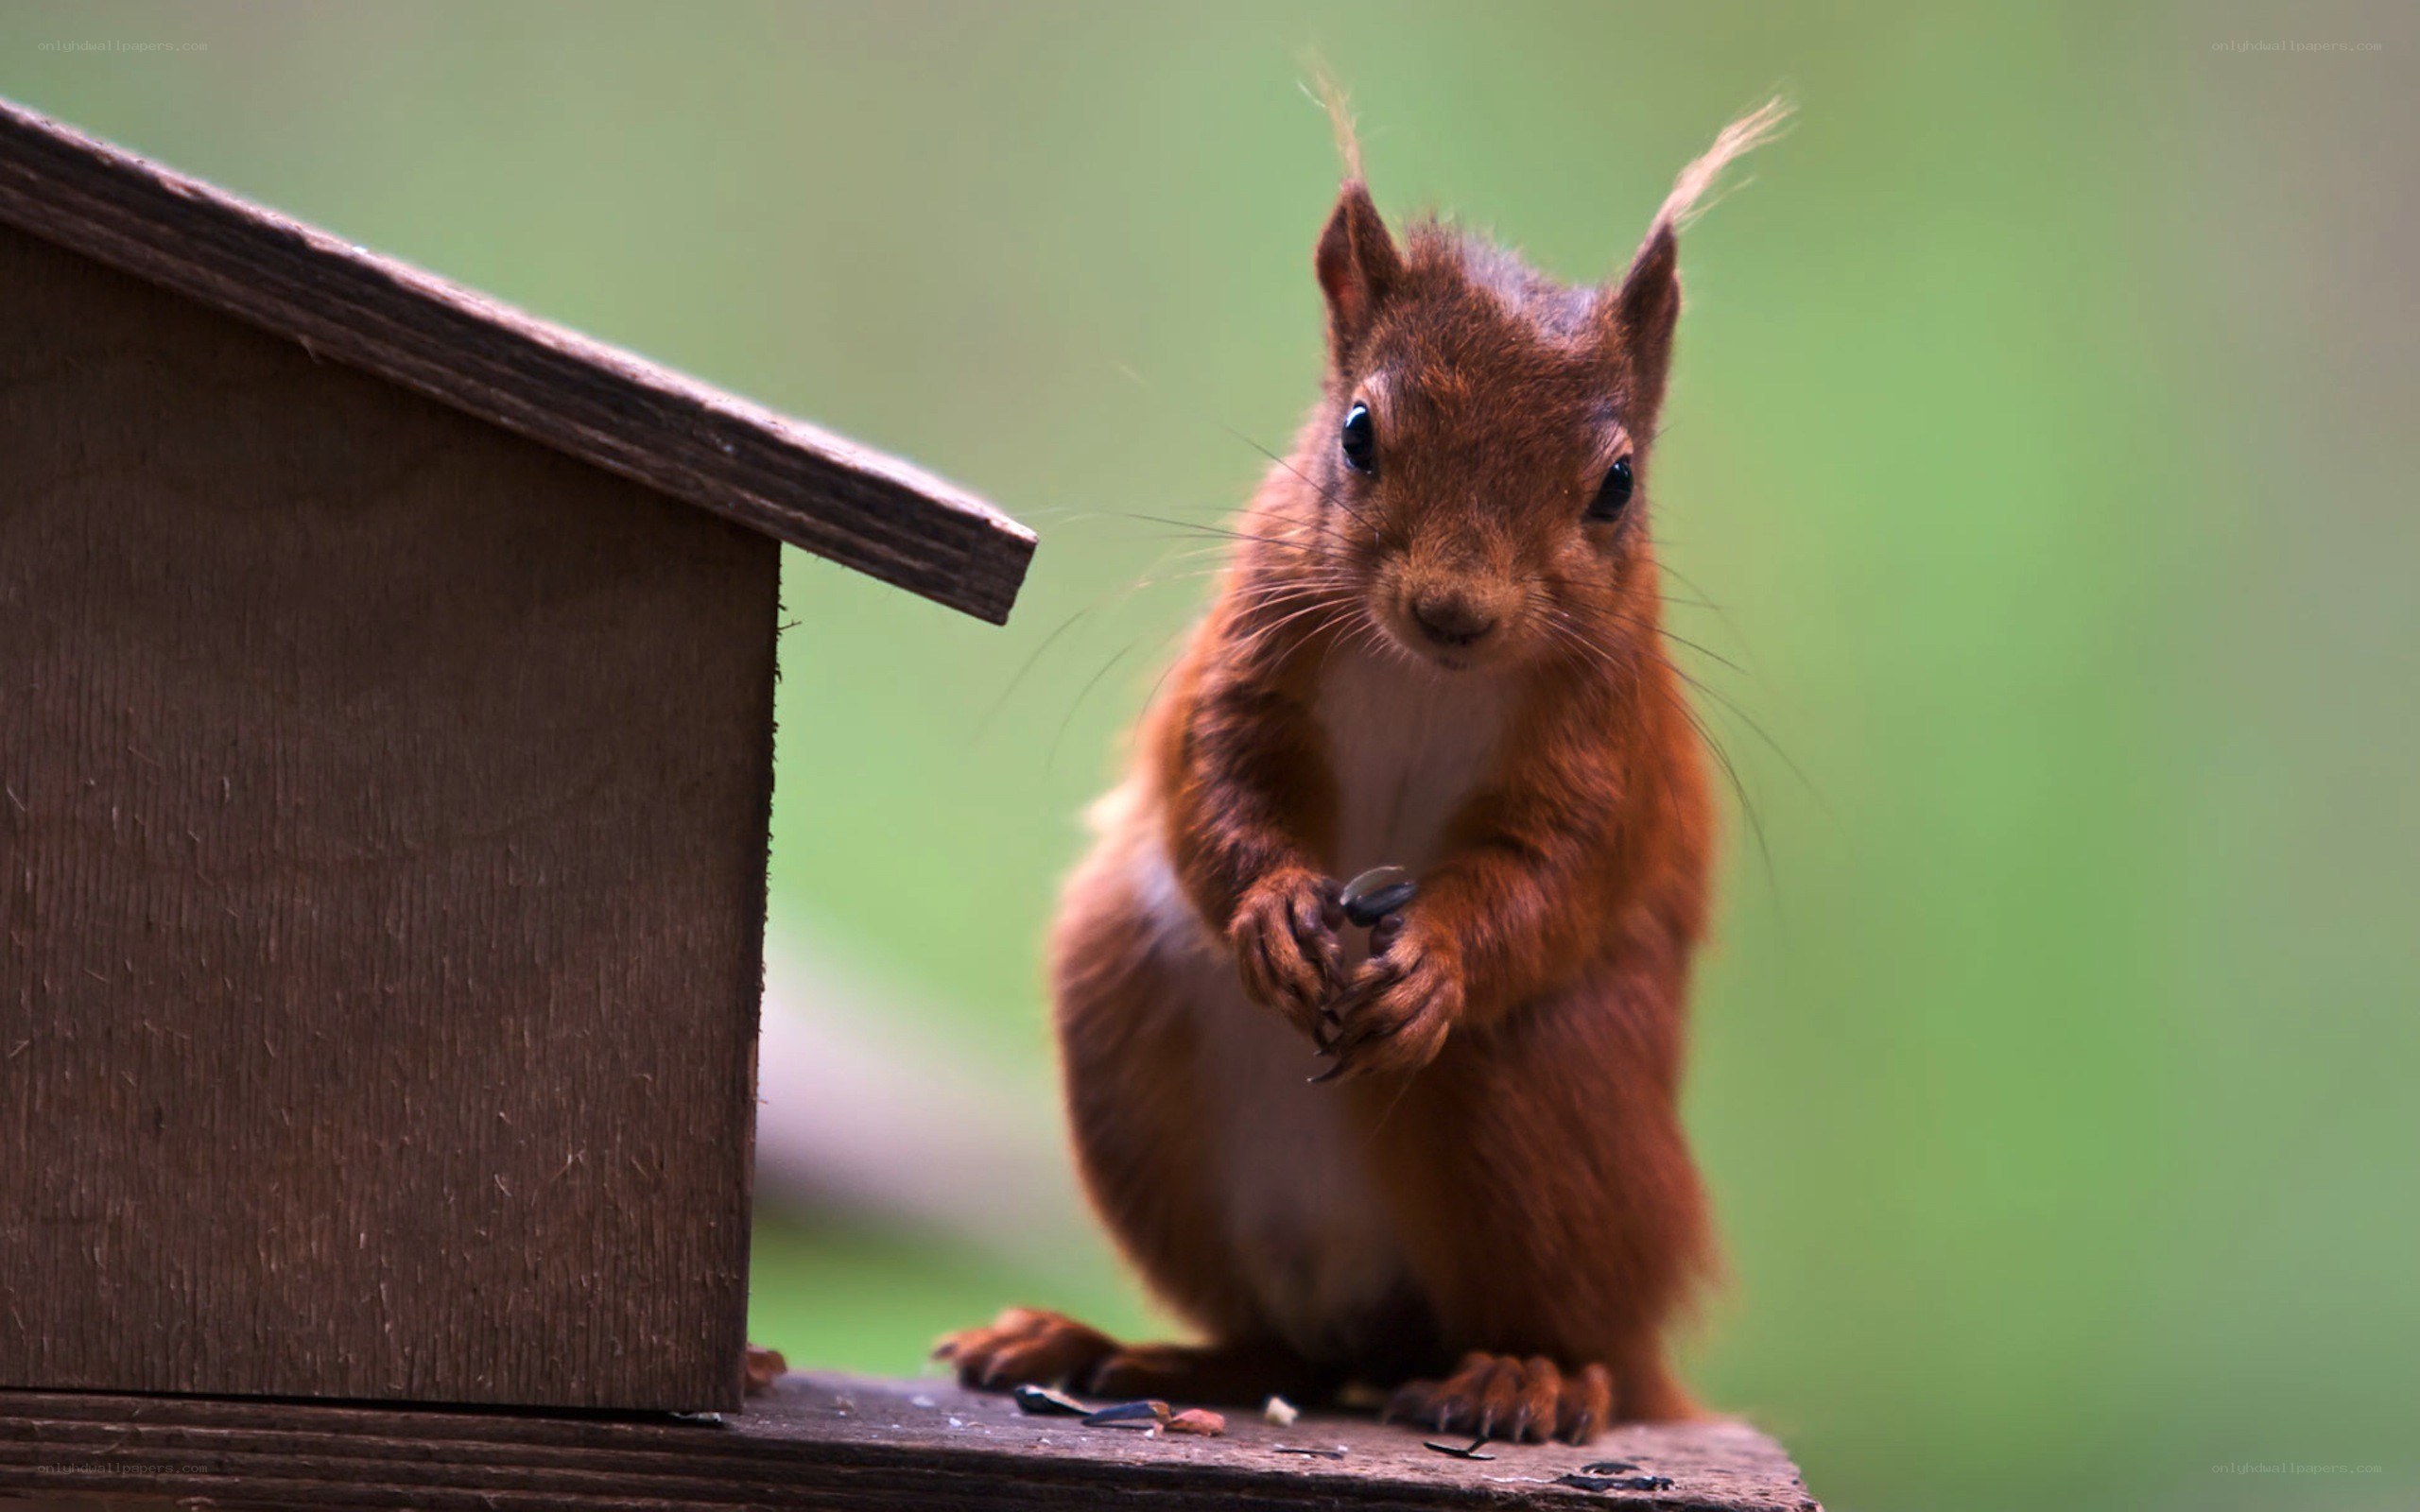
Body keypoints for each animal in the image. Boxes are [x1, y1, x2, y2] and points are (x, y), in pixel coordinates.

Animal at [939, 99, 1790, 1444]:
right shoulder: (1251, 641)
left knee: (1579, 1343)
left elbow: (1559, 865)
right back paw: (1113, 1351)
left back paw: (1529, 1375)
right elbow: (1214, 775)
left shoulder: (1606, 735)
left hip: (1545, 1091)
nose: (1453, 611)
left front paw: (1435, 958)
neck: (1425, 672)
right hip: (1126, 1016)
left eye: (1617, 485)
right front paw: (1275, 909)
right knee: (1274, 1348)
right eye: (1357, 435)